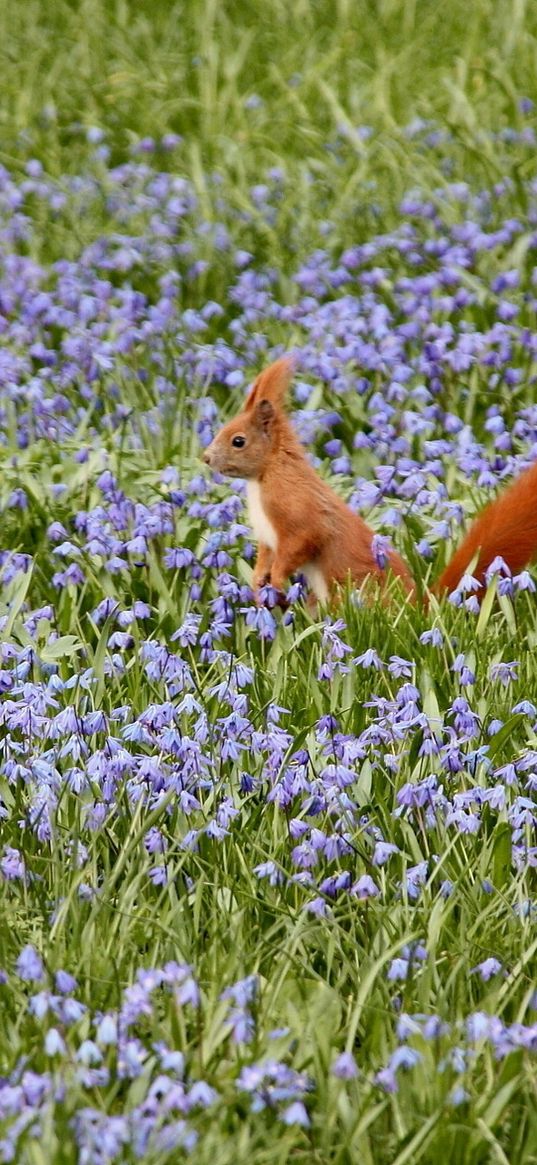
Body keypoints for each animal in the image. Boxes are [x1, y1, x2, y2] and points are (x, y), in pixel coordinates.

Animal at [201, 356, 537, 605]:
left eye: (238, 441)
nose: (205, 458)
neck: (263, 478)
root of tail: (418, 610)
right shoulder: (268, 536)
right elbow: (267, 555)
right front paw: (259, 580)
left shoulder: (296, 509)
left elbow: (301, 542)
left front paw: (279, 580)